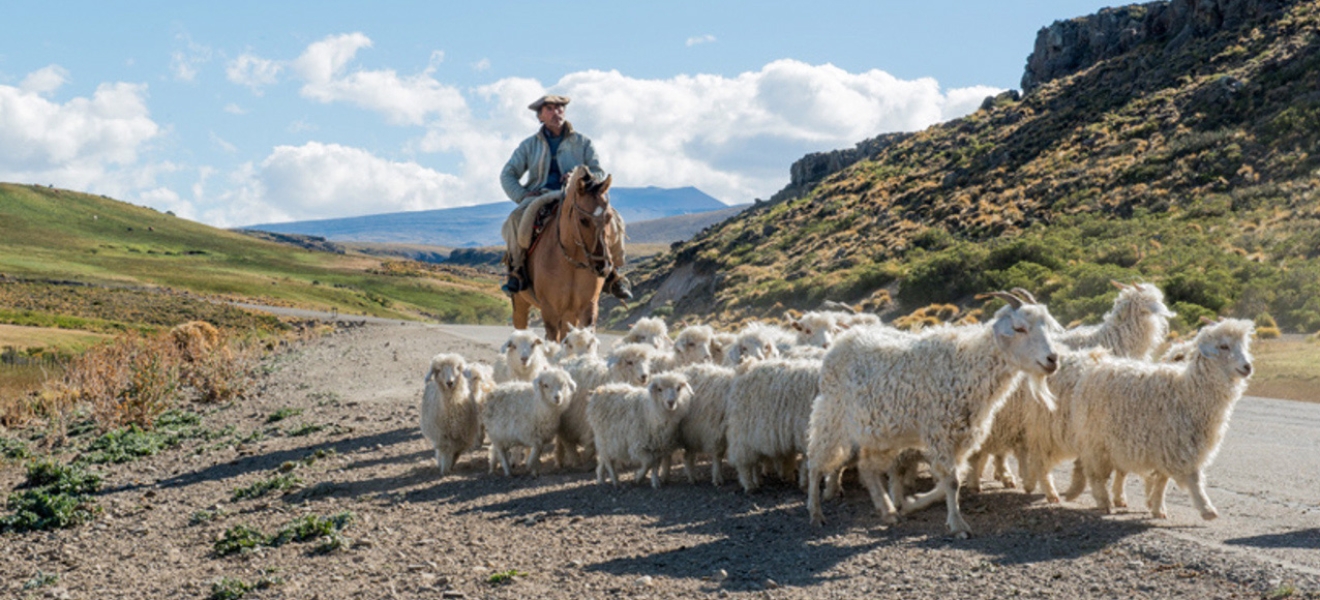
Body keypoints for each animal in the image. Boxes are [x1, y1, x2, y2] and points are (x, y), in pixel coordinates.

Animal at [514, 166, 617, 342]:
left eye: (609, 217)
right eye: (583, 220)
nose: (603, 267)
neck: (571, 262)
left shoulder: (588, 308)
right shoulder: (550, 311)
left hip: (569, 315)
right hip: (520, 303)